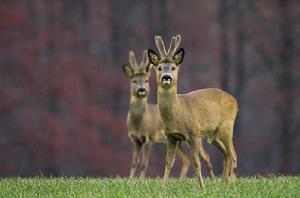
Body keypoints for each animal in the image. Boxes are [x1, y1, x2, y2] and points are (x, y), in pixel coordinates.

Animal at [122, 50, 216, 179]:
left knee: (205, 157)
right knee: (187, 159)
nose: (141, 90)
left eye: (146, 80)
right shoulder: (135, 139)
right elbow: (134, 163)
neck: (140, 122)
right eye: (134, 81)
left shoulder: (149, 137)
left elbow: (144, 163)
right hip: (179, 140)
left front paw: (140, 180)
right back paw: (180, 180)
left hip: (195, 138)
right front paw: (131, 180)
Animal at [147, 35, 237, 189]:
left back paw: (231, 183)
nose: (166, 77)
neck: (177, 114)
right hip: (213, 135)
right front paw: (163, 187)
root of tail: (234, 100)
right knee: (226, 154)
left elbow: (196, 163)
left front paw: (202, 188)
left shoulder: (193, 134)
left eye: (173, 67)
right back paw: (223, 183)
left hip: (227, 127)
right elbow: (168, 163)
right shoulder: (171, 136)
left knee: (233, 155)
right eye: (159, 68)